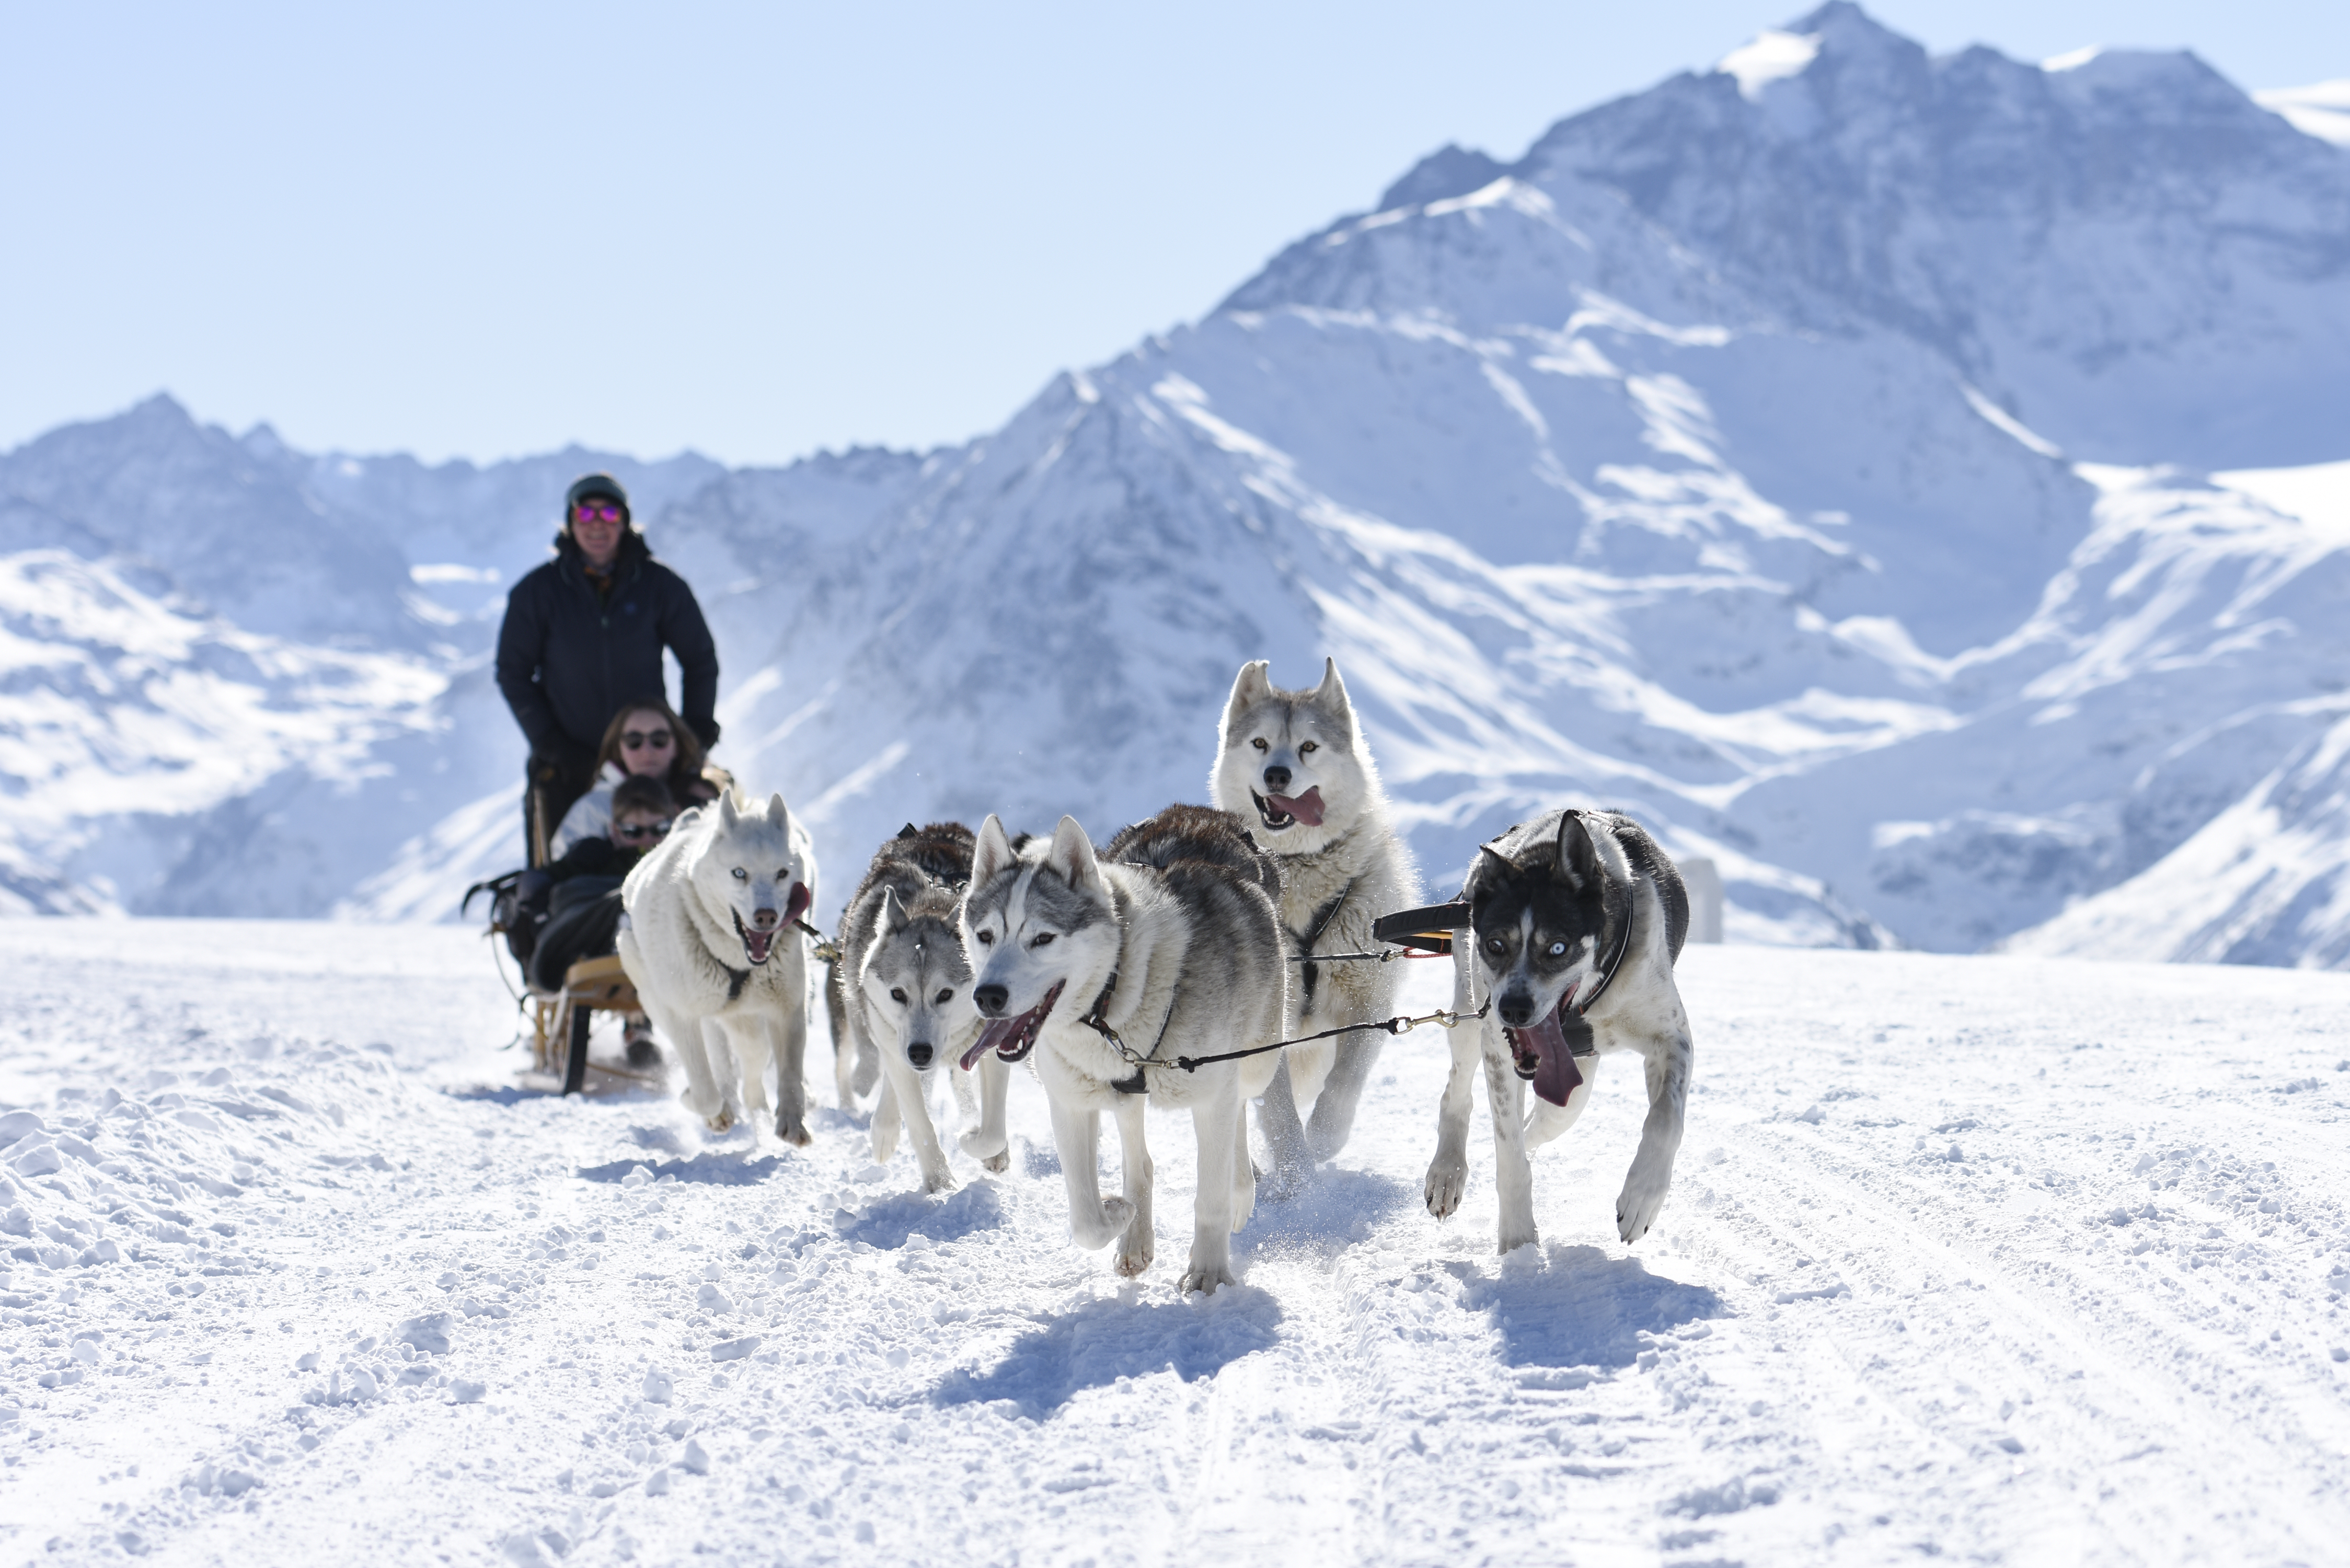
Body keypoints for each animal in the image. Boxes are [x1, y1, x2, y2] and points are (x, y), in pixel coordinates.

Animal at [620, 799, 822, 1142]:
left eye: (782, 873)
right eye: (739, 873)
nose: (767, 916)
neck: (737, 960)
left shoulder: (788, 1007)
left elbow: (790, 1072)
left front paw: (793, 1121)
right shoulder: (680, 1015)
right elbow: (705, 1092)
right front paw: (704, 1105)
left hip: (744, 1016)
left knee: (753, 1055)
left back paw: (757, 1104)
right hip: (660, 995)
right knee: (725, 1066)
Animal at [827, 823, 1010, 1189]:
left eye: (946, 994)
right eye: (898, 994)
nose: (921, 1053)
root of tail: (941, 829)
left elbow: (993, 1128)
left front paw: (980, 1143)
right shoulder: (897, 1048)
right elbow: (919, 1122)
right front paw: (940, 1183)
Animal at [954, 804, 1287, 1297]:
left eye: (1043, 938)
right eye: (985, 935)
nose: (988, 996)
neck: (1110, 1002)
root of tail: (1208, 815)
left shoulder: (1212, 1092)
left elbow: (1210, 1197)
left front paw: (1208, 1273)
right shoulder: (1071, 1103)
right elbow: (1086, 1220)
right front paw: (1119, 1213)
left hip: (1255, 1061)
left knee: (1241, 1109)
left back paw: (1240, 1190)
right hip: (1126, 1092)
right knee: (1140, 1158)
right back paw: (1135, 1236)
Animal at [1222, 658, 1419, 1189]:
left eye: (1309, 747)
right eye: (1260, 743)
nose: (1277, 774)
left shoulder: (1370, 1000)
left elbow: (1345, 1081)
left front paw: (1326, 1137)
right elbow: (1279, 1111)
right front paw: (1299, 1176)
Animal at [1410, 818, 1692, 1260]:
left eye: (1558, 947)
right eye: (1495, 944)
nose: (1513, 1009)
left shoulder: (1670, 1036)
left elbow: (1665, 1118)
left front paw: (1641, 1198)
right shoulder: (1497, 1048)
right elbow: (1510, 1156)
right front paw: (1519, 1243)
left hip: (1575, 1082)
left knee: (1552, 1118)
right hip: (1470, 1010)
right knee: (1458, 1092)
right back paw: (1447, 1174)